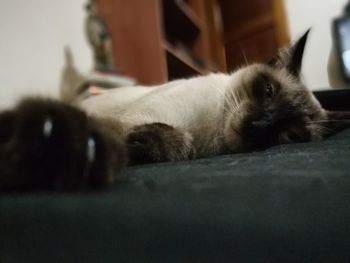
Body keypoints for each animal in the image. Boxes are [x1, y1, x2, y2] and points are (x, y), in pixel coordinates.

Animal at [0, 29, 350, 193]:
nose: (260, 125)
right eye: (267, 92)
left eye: (291, 135)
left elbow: (177, 142)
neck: (210, 135)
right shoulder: (137, 117)